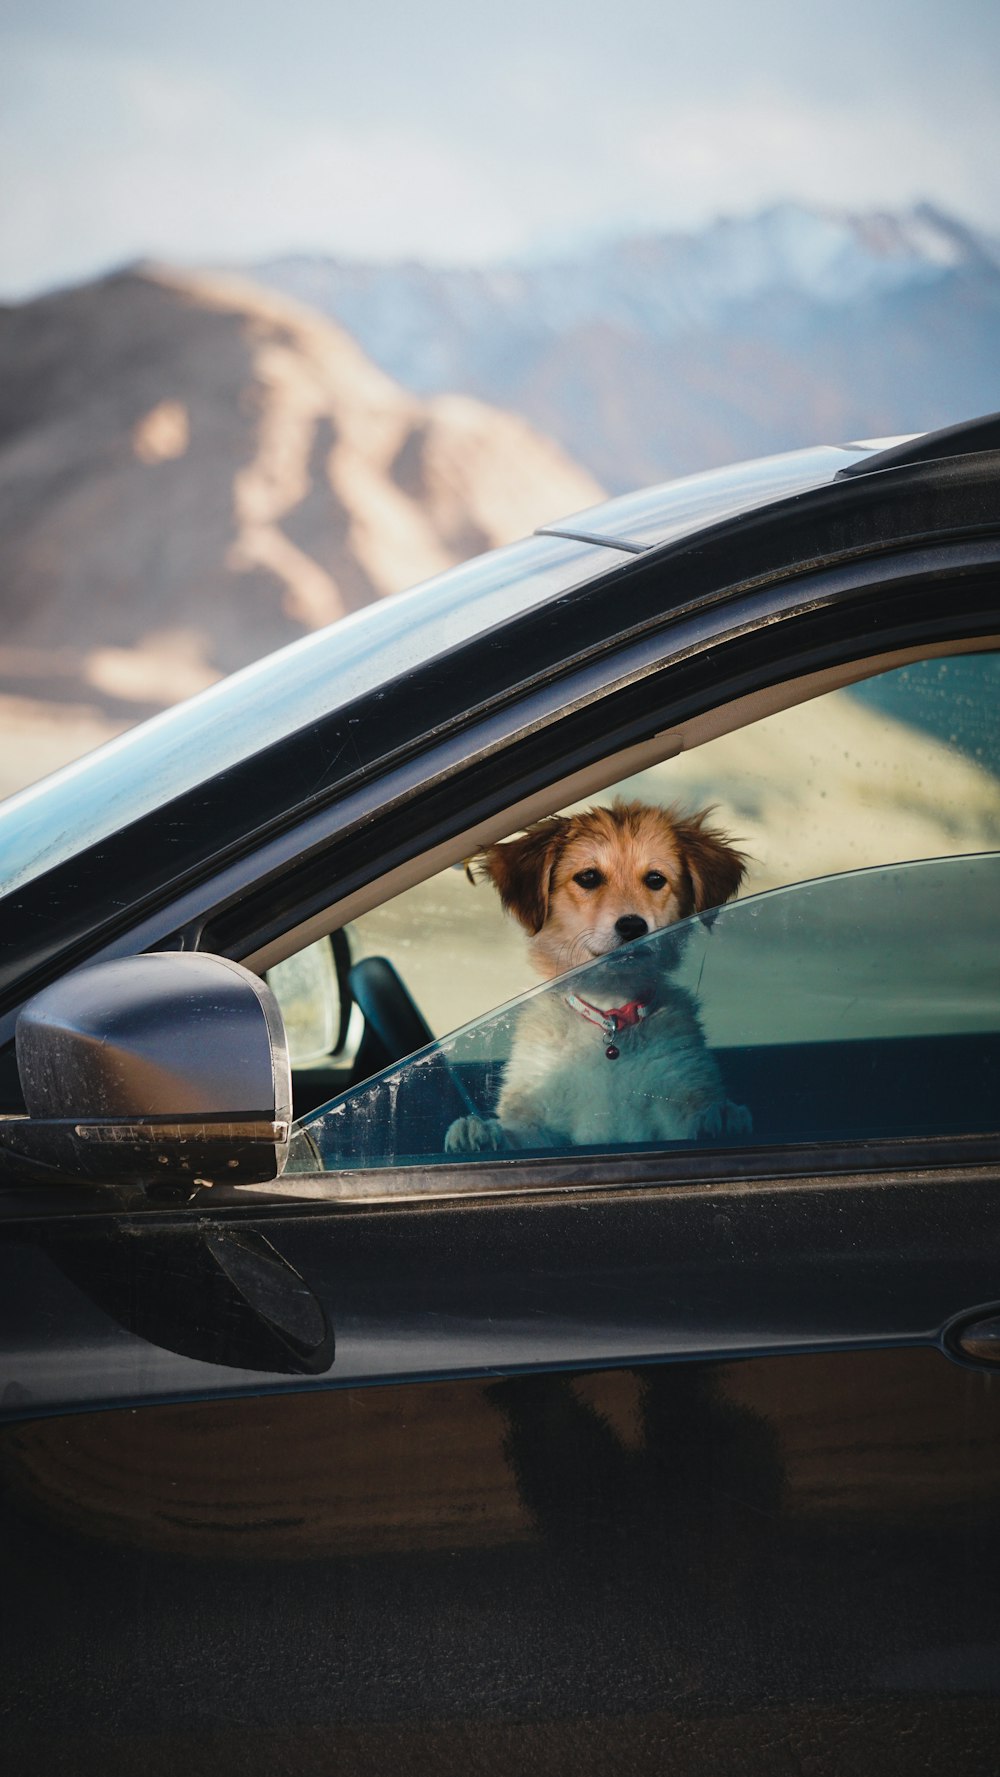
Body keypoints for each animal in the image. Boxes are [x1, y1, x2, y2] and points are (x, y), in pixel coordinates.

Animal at [445, 803, 753, 1151]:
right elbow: (519, 1134)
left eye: (655, 879)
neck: (610, 1015)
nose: (633, 927)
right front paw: (482, 1132)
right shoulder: (542, 1115)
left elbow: (691, 1119)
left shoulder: (675, 1091)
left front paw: (720, 1120)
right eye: (588, 877)